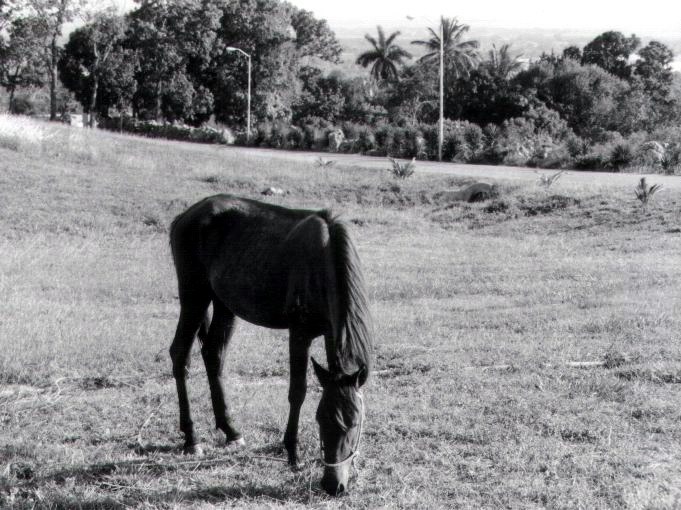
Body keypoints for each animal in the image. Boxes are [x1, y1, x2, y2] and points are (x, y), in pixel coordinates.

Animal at [169, 194, 372, 494]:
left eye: (355, 423)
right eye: (320, 419)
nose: (333, 485)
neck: (323, 259)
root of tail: (186, 215)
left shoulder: (328, 333)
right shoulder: (299, 334)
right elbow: (297, 392)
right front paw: (293, 454)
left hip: (224, 304)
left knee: (213, 354)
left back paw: (231, 431)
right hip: (194, 296)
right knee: (180, 355)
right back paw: (191, 438)